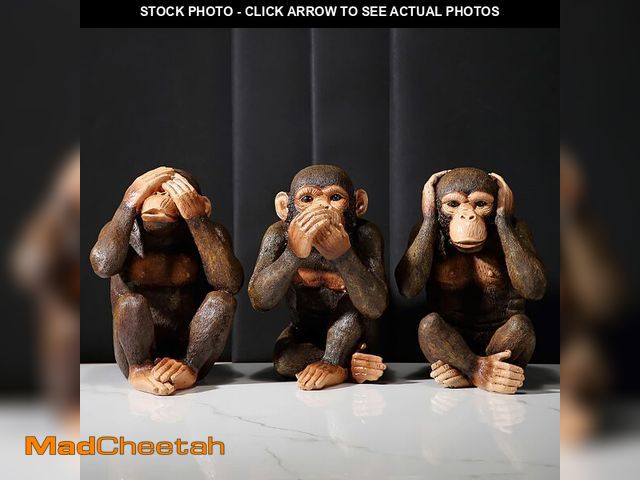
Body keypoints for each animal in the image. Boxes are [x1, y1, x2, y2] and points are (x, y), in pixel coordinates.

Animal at [90, 167, 243, 396]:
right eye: (155, 190)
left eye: (167, 191)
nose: (159, 194)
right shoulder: (109, 228)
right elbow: (102, 259)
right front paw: (137, 189)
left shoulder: (219, 231)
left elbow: (230, 278)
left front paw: (189, 203)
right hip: (123, 362)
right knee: (130, 302)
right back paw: (141, 371)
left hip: (193, 362)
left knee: (221, 299)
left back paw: (182, 368)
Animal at [248, 165, 388, 390]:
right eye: (307, 199)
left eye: (336, 197)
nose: (323, 207)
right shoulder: (272, 234)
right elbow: (258, 292)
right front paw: (298, 241)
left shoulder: (371, 235)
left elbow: (377, 299)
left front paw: (337, 244)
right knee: (284, 357)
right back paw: (353, 366)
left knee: (356, 303)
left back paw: (336, 367)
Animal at [395, 167, 546, 394]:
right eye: (453, 204)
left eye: (481, 204)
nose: (468, 215)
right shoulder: (416, 229)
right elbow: (407, 282)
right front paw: (428, 199)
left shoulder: (522, 228)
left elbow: (535, 282)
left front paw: (504, 203)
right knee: (429, 323)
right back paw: (464, 372)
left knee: (520, 324)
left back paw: (492, 375)